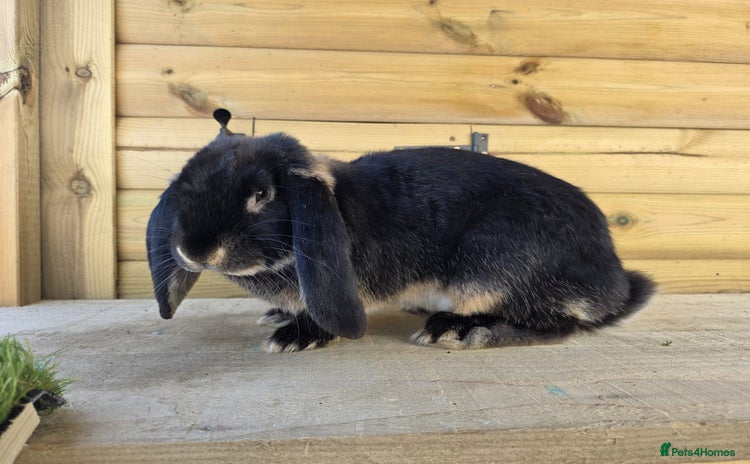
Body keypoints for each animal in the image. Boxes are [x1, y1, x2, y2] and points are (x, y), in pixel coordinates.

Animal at [147, 109, 655, 352]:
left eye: (261, 195)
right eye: (184, 180)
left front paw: (295, 336)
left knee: (558, 323)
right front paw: (278, 317)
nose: (194, 249)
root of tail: (613, 281)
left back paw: (459, 332)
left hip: (492, 266)